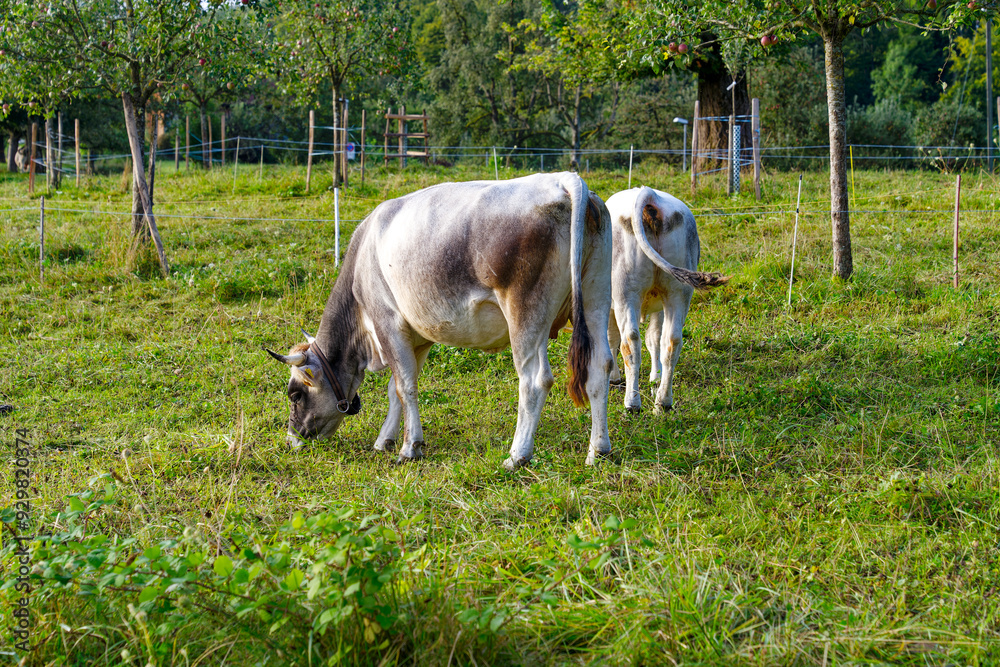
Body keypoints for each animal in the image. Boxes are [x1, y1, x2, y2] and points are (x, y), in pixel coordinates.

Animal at [266, 172, 615, 470]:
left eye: (295, 394)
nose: (292, 439)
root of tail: (564, 180)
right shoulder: (418, 337)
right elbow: (396, 389)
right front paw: (385, 440)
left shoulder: (387, 323)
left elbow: (404, 386)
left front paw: (410, 448)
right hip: (597, 298)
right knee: (600, 366)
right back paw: (598, 450)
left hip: (526, 313)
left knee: (534, 379)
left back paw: (517, 455)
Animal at [606, 186, 728, 414]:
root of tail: (649, 194)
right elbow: (654, 339)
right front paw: (655, 378)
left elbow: (612, 339)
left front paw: (613, 376)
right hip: (678, 292)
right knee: (671, 340)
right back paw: (663, 401)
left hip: (625, 292)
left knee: (630, 341)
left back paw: (632, 403)